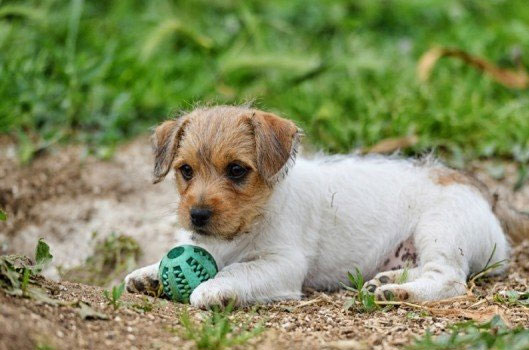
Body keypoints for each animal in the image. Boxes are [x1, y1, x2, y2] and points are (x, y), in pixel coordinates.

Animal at [126, 105, 528, 308]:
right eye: (186, 171)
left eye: (237, 170)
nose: (197, 216)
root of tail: (484, 193)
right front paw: (149, 274)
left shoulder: (282, 264)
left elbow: (239, 271)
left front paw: (212, 289)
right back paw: (388, 280)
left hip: (441, 229)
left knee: (449, 279)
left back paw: (399, 293)